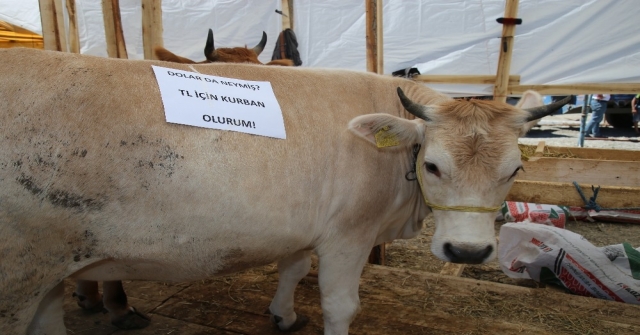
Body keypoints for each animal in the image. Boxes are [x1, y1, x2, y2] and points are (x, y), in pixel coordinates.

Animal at [0, 48, 568, 335]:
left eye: (515, 169)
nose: (468, 252)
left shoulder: (303, 225)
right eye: (431, 164)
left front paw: (284, 314)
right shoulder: (349, 233)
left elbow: (292, 270)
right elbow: (340, 305)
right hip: (20, 275)